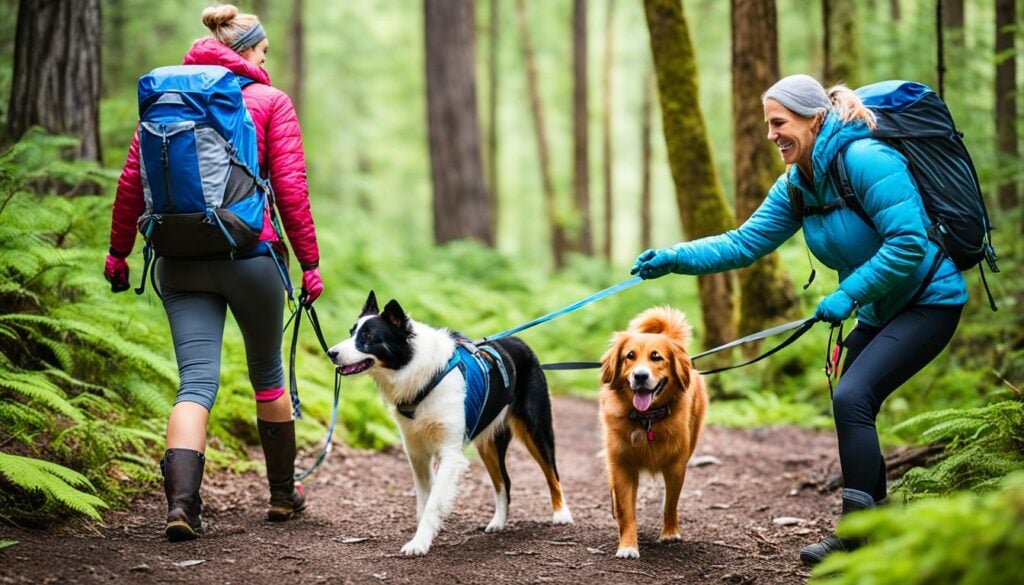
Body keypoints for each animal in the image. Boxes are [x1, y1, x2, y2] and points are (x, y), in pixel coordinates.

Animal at [325, 295, 573, 557]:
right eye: (351, 332)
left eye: (368, 337)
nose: (331, 352)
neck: (424, 377)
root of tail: (519, 341)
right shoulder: (417, 452)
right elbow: (424, 500)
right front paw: (424, 535)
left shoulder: (450, 454)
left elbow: (433, 502)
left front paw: (419, 543)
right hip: (488, 443)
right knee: (504, 482)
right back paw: (498, 522)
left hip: (536, 428)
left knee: (552, 473)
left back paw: (561, 514)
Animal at [598, 307, 708, 557]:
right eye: (630, 356)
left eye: (656, 357)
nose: (640, 376)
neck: (646, 418)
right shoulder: (621, 465)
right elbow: (627, 509)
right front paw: (628, 546)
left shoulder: (676, 466)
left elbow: (670, 503)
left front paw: (669, 533)